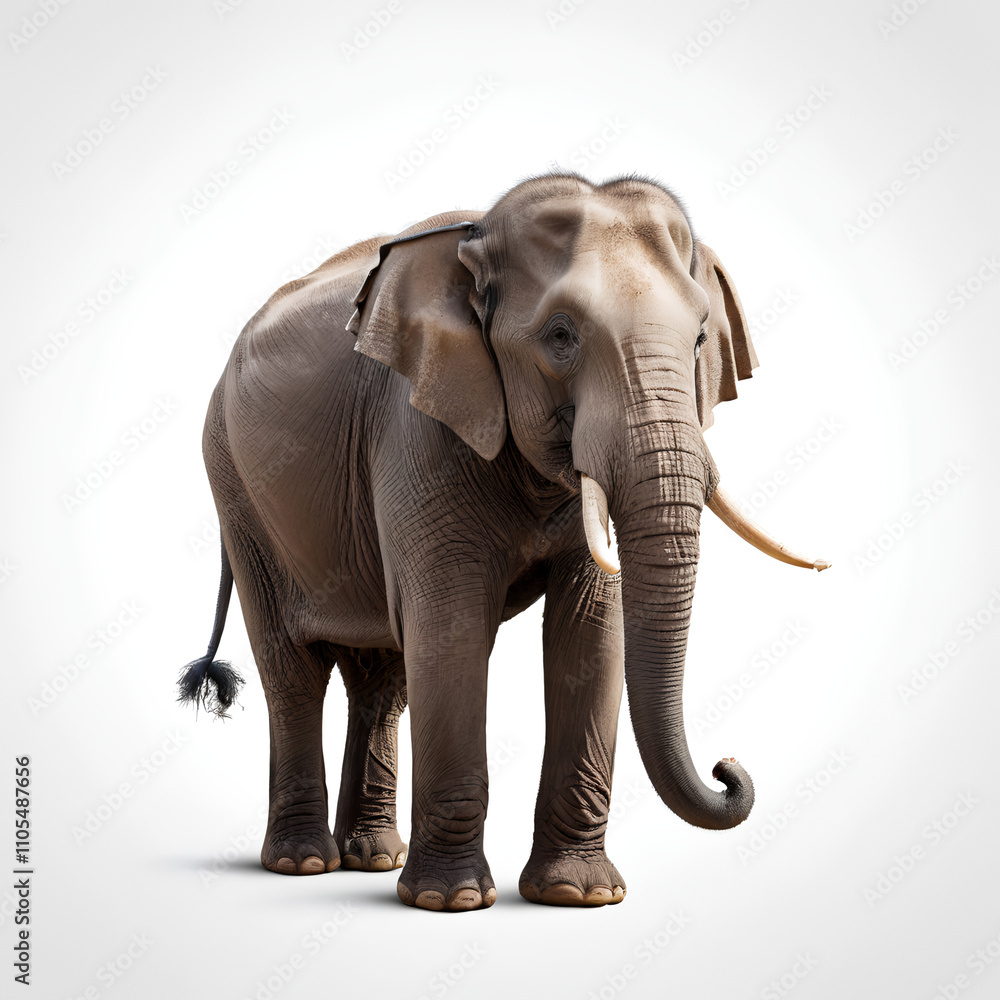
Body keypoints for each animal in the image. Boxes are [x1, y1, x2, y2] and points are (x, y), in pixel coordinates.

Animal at [179, 172, 829, 912]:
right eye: (560, 336)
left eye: (698, 340)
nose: (729, 768)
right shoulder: (418, 426)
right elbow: (452, 628)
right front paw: (451, 902)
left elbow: (590, 633)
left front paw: (578, 895)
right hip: (235, 487)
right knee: (293, 669)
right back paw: (304, 864)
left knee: (384, 677)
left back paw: (371, 859)